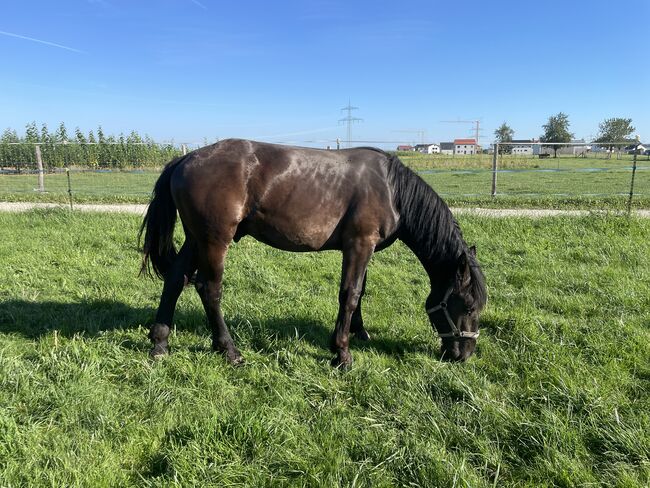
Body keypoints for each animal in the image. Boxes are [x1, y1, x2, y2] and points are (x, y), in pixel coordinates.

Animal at [140, 139, 486, 368]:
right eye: (468, 305)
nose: (465, 354)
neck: (392, 189)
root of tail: (185, 158)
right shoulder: (359, 244)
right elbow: (350, 294)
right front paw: (342, 352)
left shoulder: (364, 249)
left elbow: (360, 293)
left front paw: (359, 332)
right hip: (214, 240)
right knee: (208, 289)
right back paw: (229, 350)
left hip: (196, 238)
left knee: (175, 280)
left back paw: (160, 342)